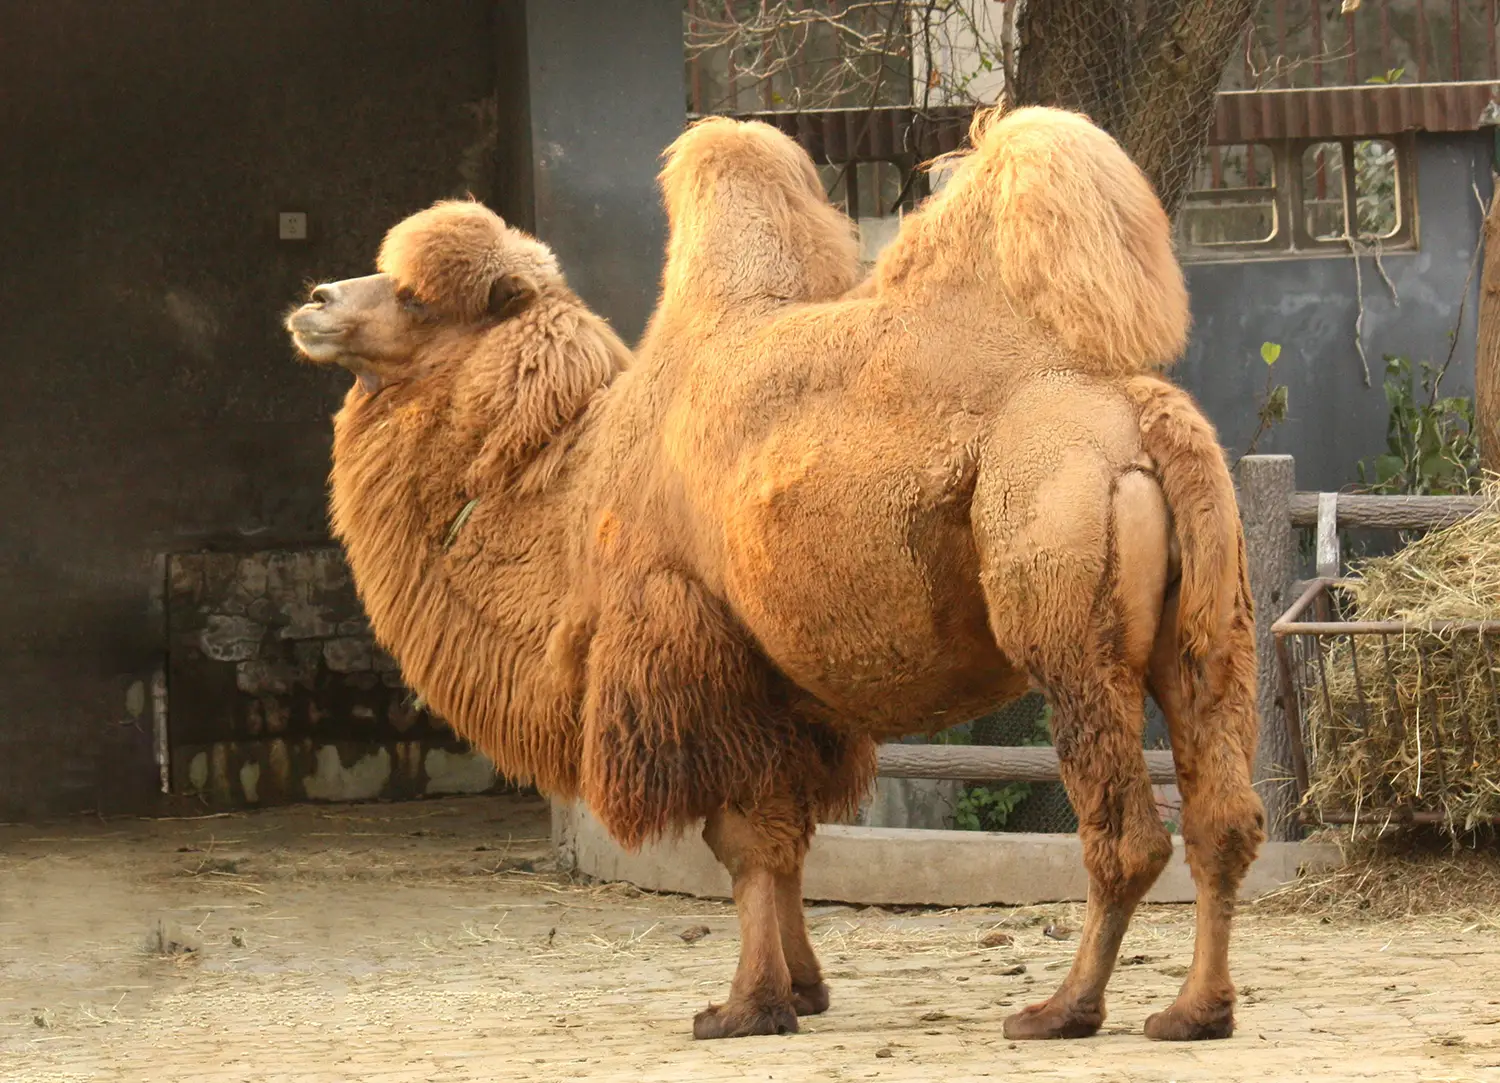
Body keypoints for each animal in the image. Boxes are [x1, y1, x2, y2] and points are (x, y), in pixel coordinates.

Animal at [284, 104, 1264, 1045]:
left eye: (415, 297)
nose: (315, 301)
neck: (571, 492)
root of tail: (1142, 413)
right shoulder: (787, 688)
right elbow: (788, 840)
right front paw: (804, 985)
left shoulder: (695, 654)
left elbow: (743, 840)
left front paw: (744, 1005)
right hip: (1208, 635)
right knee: (1223, 817)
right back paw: (1194, 1011)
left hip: (1065, 612)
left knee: (1127, 833)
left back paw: (1063, 1009)